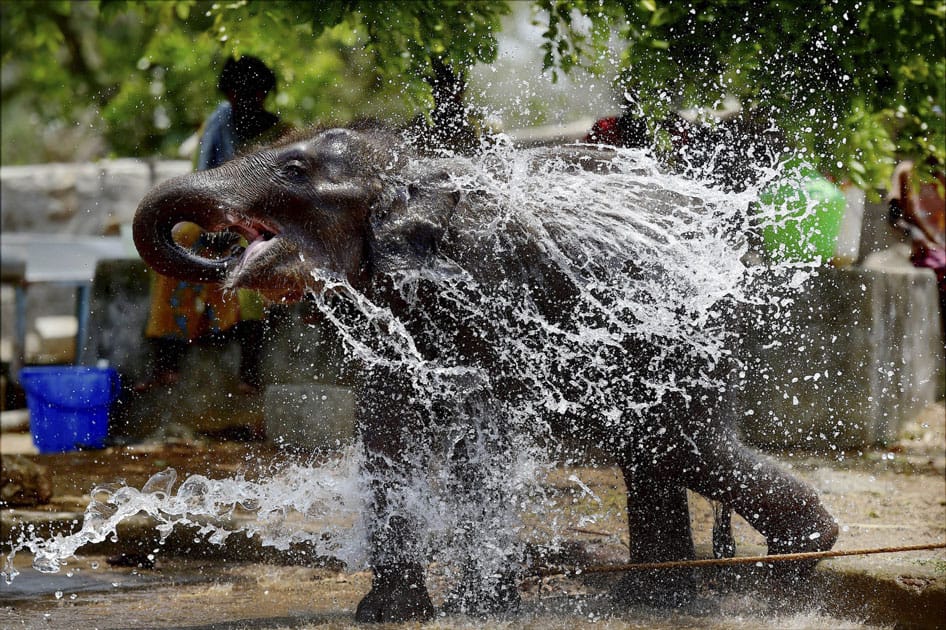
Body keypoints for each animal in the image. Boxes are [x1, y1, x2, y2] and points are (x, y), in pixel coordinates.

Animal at [133, 123, 832, 624]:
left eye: (295, 171)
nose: (217, 252)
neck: (411, 169)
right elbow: (386, 426)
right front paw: (390, 615)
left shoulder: (484, 281)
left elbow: (480, 424)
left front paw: (481, 609)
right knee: (654, 451)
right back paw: (654, 600)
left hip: (696, 331)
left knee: (685, 444)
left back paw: (796, 568)